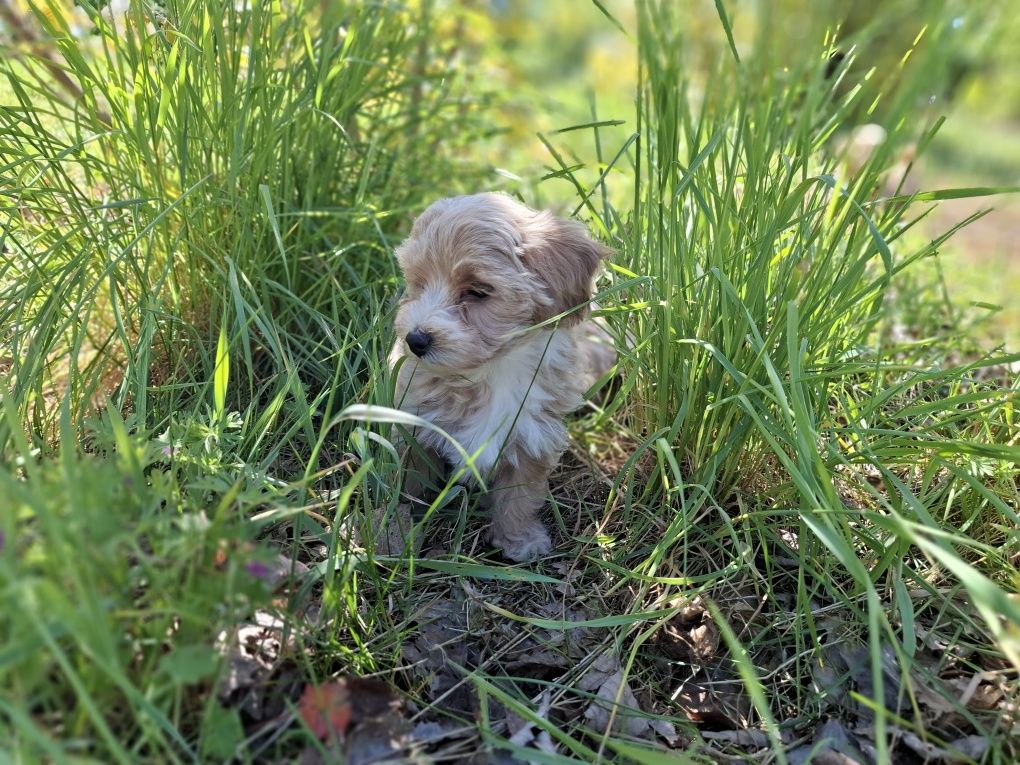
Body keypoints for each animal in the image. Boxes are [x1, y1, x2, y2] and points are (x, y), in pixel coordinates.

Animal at [387, 192, 612, 563]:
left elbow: (518, 496)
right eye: (419, 283)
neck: (493, 369)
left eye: (478, 291)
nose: (416, 339)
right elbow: (412, 480)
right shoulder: (416, 425)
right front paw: (403, 521)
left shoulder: (533, 434)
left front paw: (519, 540)